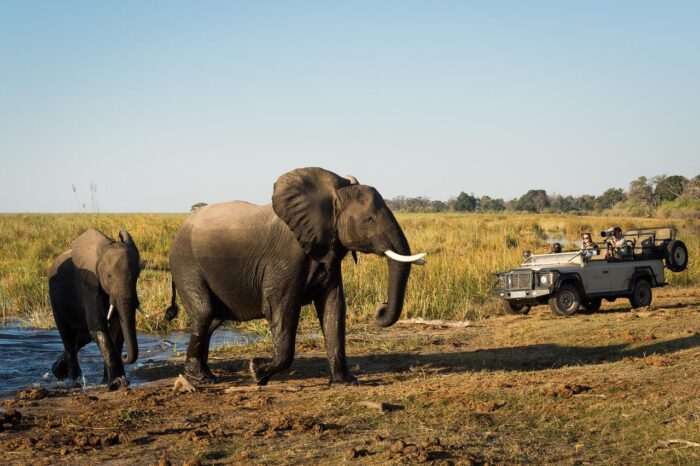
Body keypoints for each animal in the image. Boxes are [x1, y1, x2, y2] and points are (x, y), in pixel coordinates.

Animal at [50, 229, 146, 390]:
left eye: (137, 276)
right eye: (109, 276)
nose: (125, 356)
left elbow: (116, 328)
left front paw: (108, 382)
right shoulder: (88, 283)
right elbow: (98, 326)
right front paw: (117, 383)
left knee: (83, 337)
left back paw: (58, 372)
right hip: (54, 297)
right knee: (68, 337)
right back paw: (74, 381)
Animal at [165, 167, 426, 386]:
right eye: (369, 220)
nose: (380, 309)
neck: (333, 195)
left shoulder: (326, 253)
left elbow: (333, 307)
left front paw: (345, 382)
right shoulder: (286, 259)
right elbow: (279, 307)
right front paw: (256, 372)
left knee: (212, 320)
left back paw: (202, 376)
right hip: (186, 265)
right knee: (204, 313)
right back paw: (201, 379)